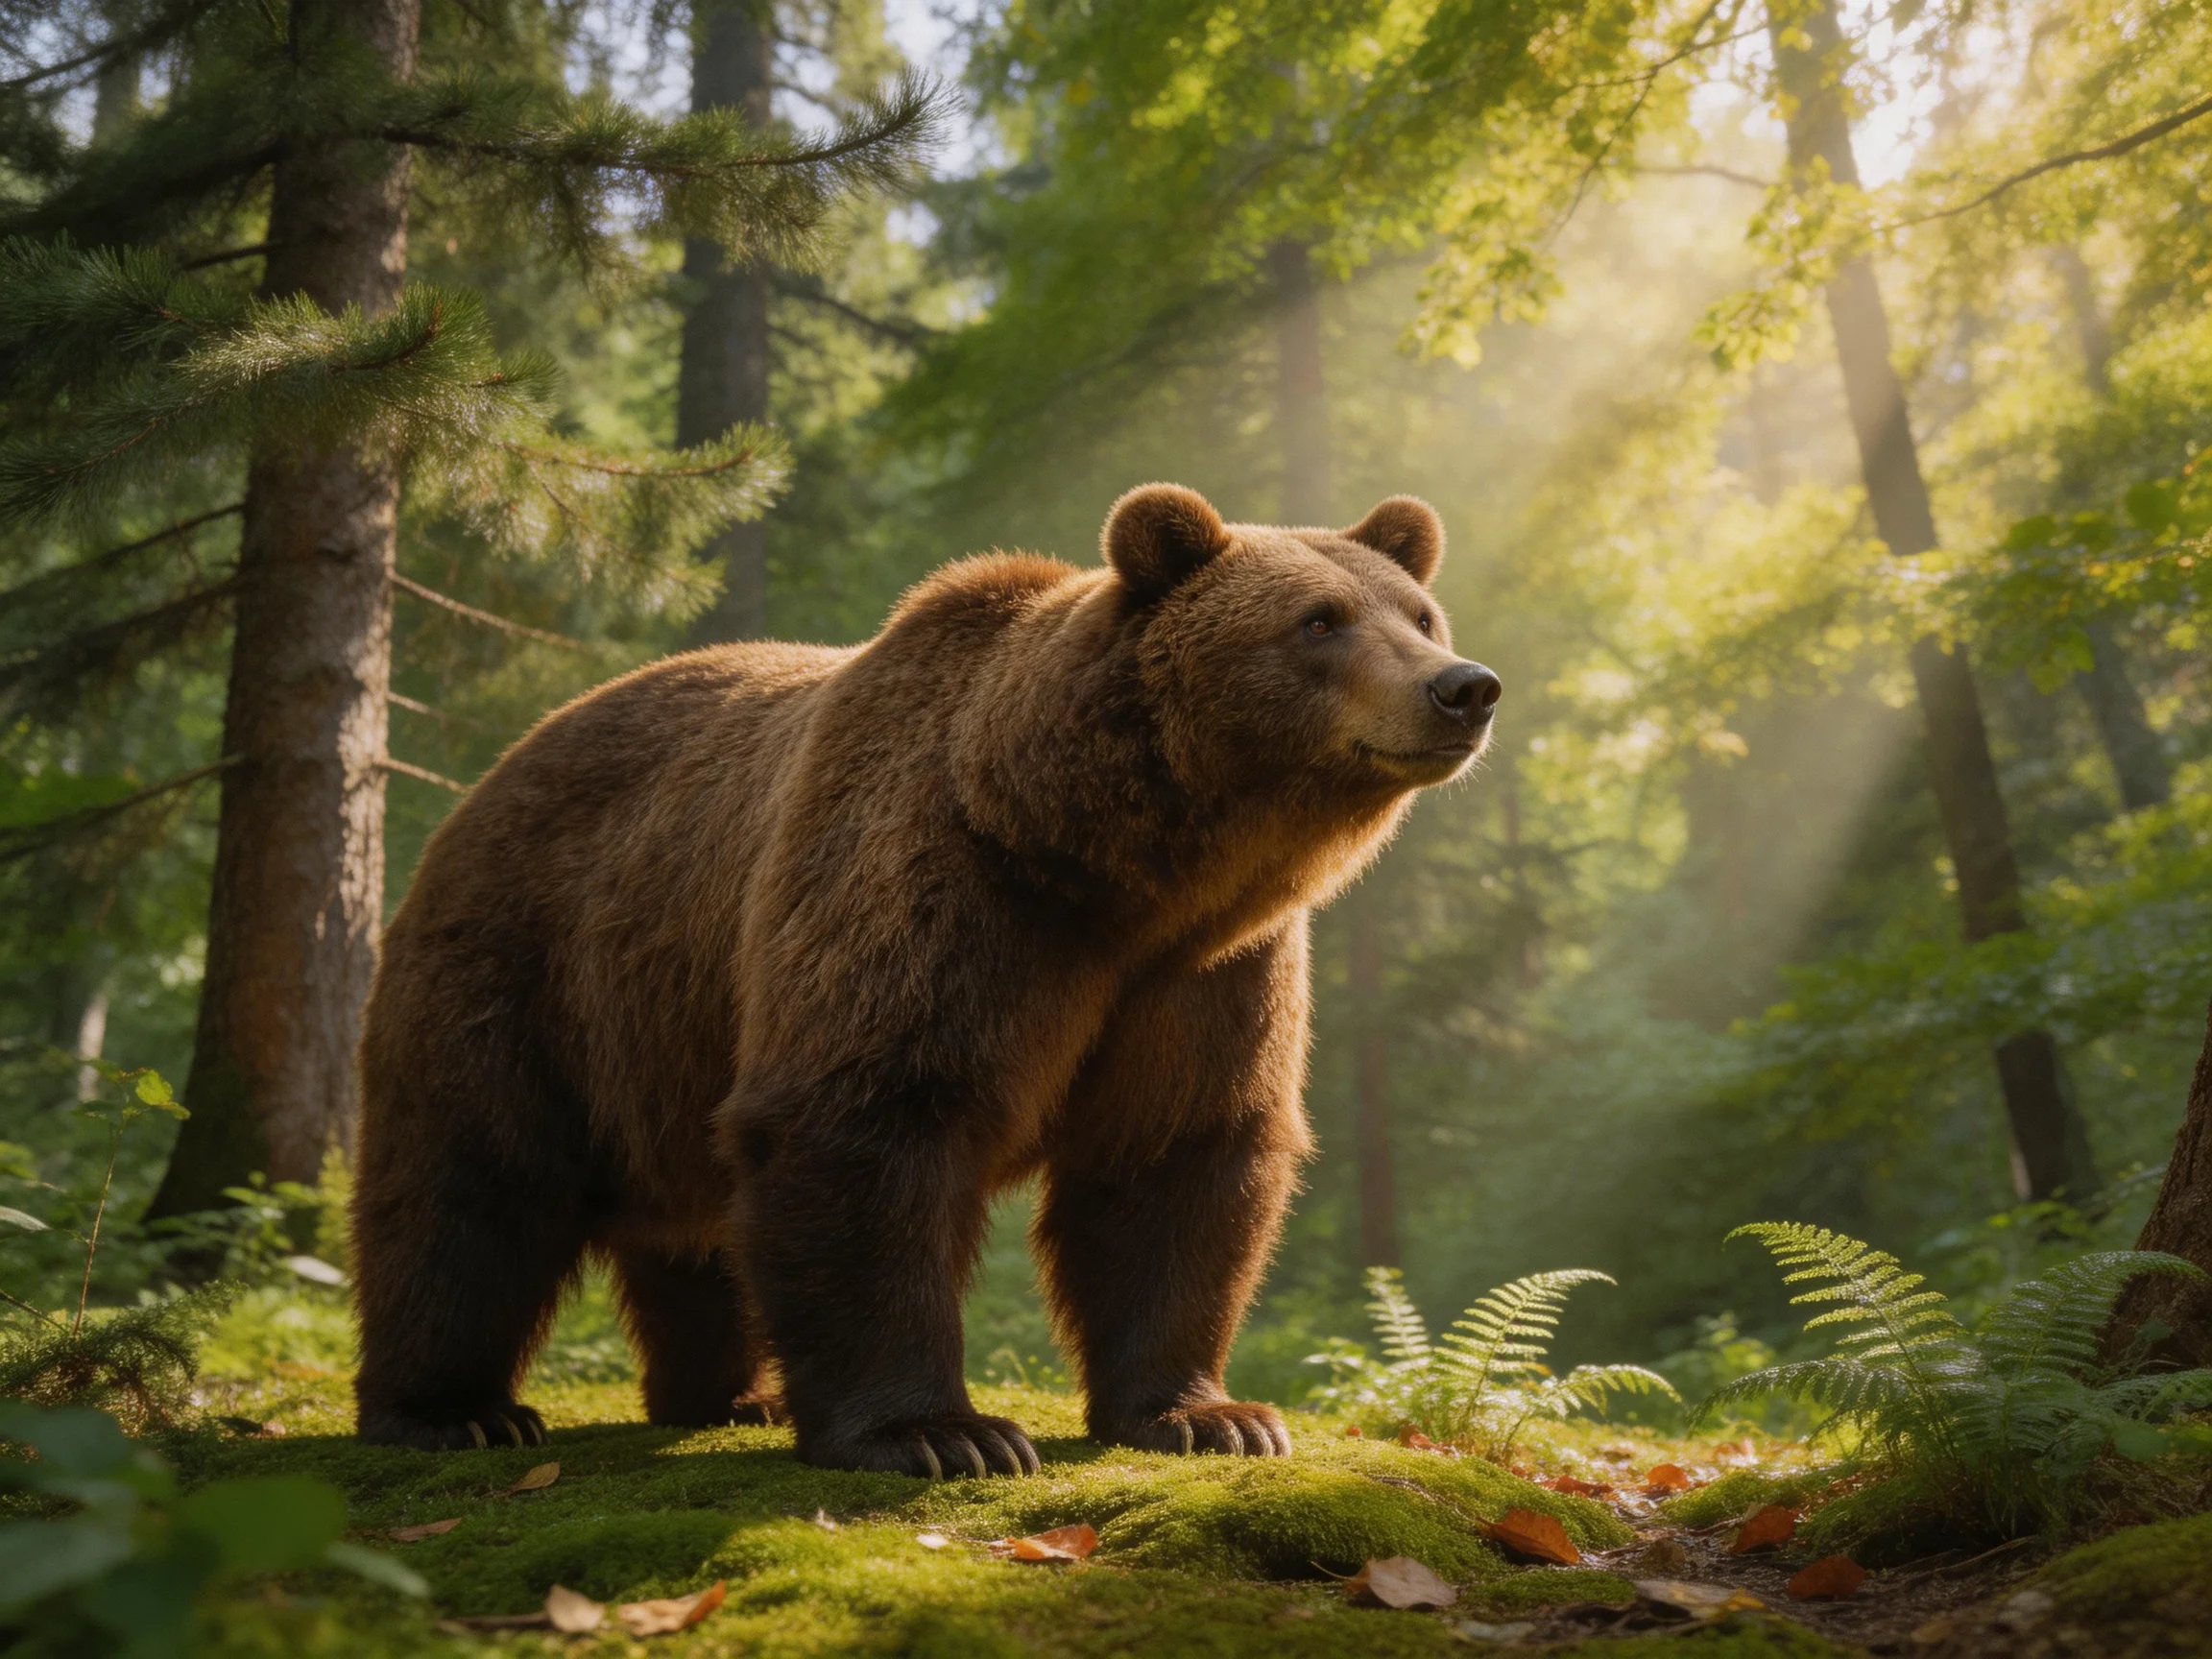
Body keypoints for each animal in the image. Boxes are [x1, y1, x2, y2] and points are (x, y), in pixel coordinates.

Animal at [350, 483, 1500, 1476]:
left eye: (1420, 613)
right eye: (1320, 621)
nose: (1463, 686)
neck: (1110, 868)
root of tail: (491, 773)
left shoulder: (1203, 972)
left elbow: (1174, 1155)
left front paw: (1207, 1414)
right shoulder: (938, 890)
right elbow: (870, 1118)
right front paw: (943, 1434)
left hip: (663, 1036)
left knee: (694, 1228)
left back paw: (729, 1396)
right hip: (524, 968)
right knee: (469, 1184)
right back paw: (454, 1411)